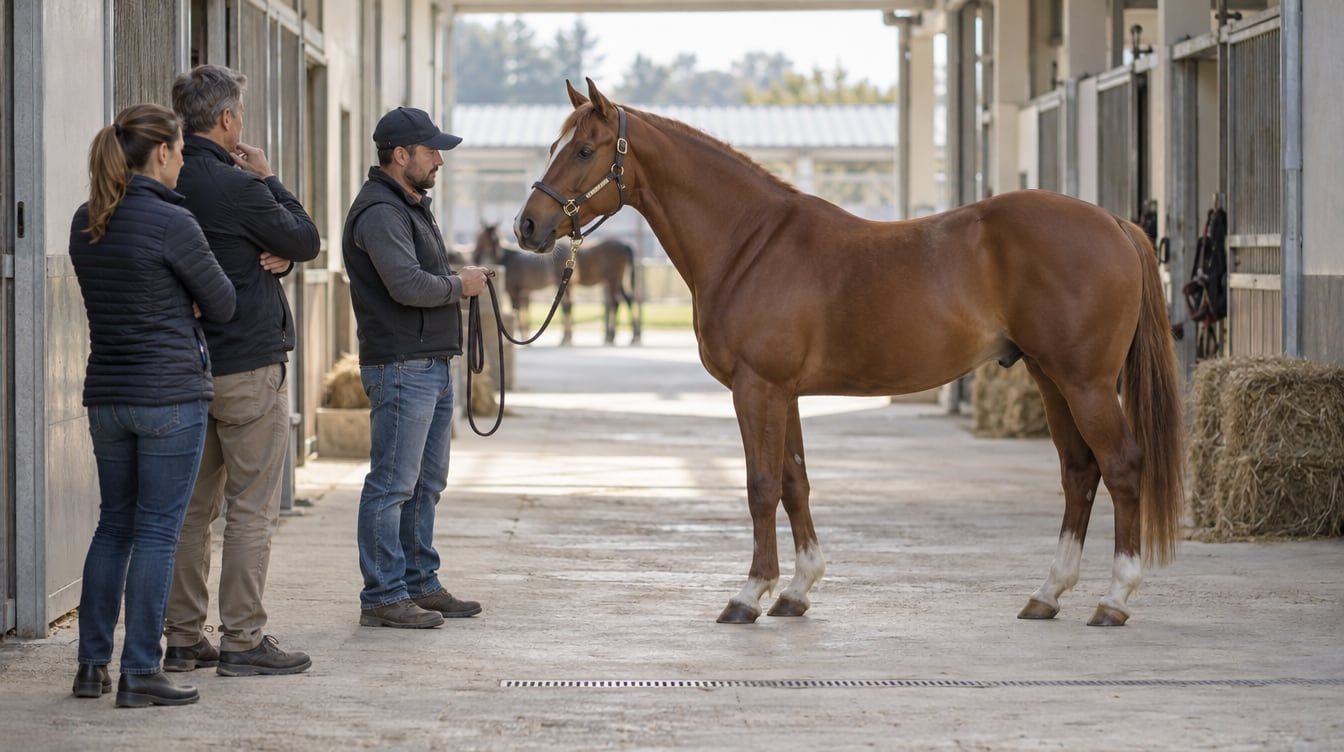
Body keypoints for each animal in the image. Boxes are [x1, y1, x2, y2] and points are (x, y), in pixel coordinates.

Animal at [472, 222, 641, 345]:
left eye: (480, 237)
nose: (475, 256)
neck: (508, 258)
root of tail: (624, 245)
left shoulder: (514, 290)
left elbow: (517, 310)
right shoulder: (525, 291)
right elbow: (525, 311)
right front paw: (526, 335)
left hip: (611, 280)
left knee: (614, 302)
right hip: (615, 281)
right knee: (624, 300)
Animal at [513, 79, 1183, 628]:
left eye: (584, 150)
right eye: (553, 143)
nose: (527, 227)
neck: (750, 243)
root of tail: (1115, 223)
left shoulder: (758, 388)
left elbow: (760, 485)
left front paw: (748, 594)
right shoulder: (784, 394)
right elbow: (795, 481)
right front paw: (796, 591)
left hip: (1086, 382)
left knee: (1121, 466)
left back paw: (1114, 598)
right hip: (1050, 377)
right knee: (1079, 471)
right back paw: (1047, 594)